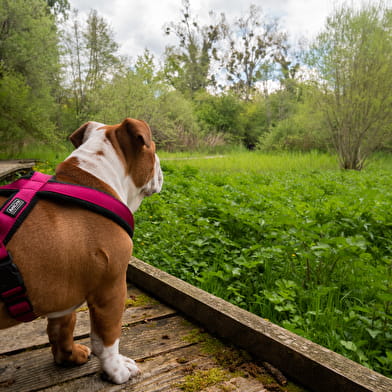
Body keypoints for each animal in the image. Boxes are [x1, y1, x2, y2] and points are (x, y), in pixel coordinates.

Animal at [0, 117, 163, 382]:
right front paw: (116, 370)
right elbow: (107, 339)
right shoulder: (111, 288)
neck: (96, 180)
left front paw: (69, 355)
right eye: (154, 150)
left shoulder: (60, 292)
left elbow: (63, 325)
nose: (160, 166)